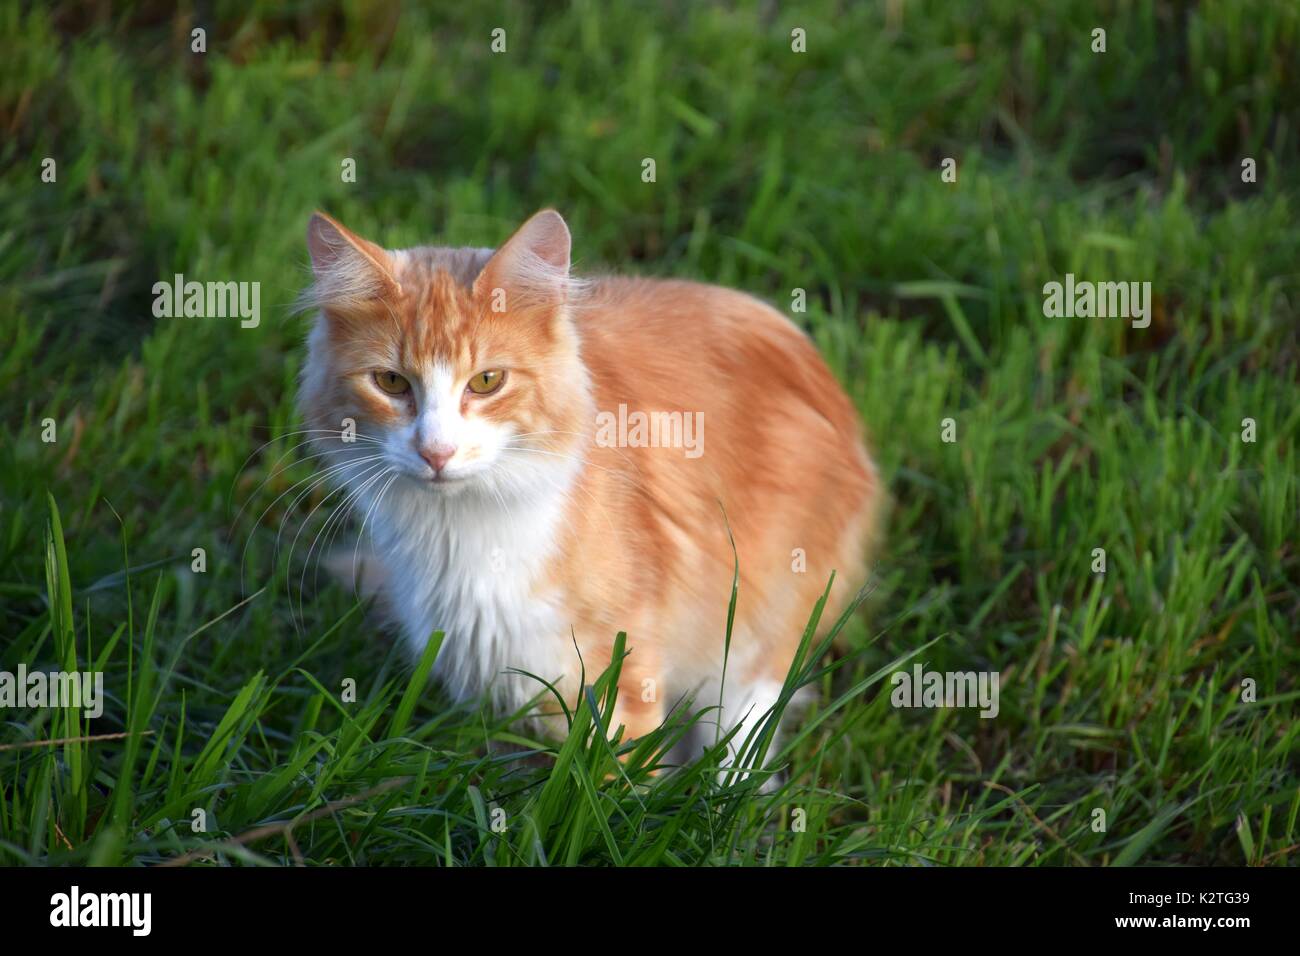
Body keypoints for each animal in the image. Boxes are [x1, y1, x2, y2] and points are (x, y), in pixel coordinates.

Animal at [297, 208, 883, 770]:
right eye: (391, 383)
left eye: (486, 382)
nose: (436, 452)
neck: (461, 535)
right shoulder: (490, 683)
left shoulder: (619, 676)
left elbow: (612, 784)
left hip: (756, 629)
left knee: (742, 743)